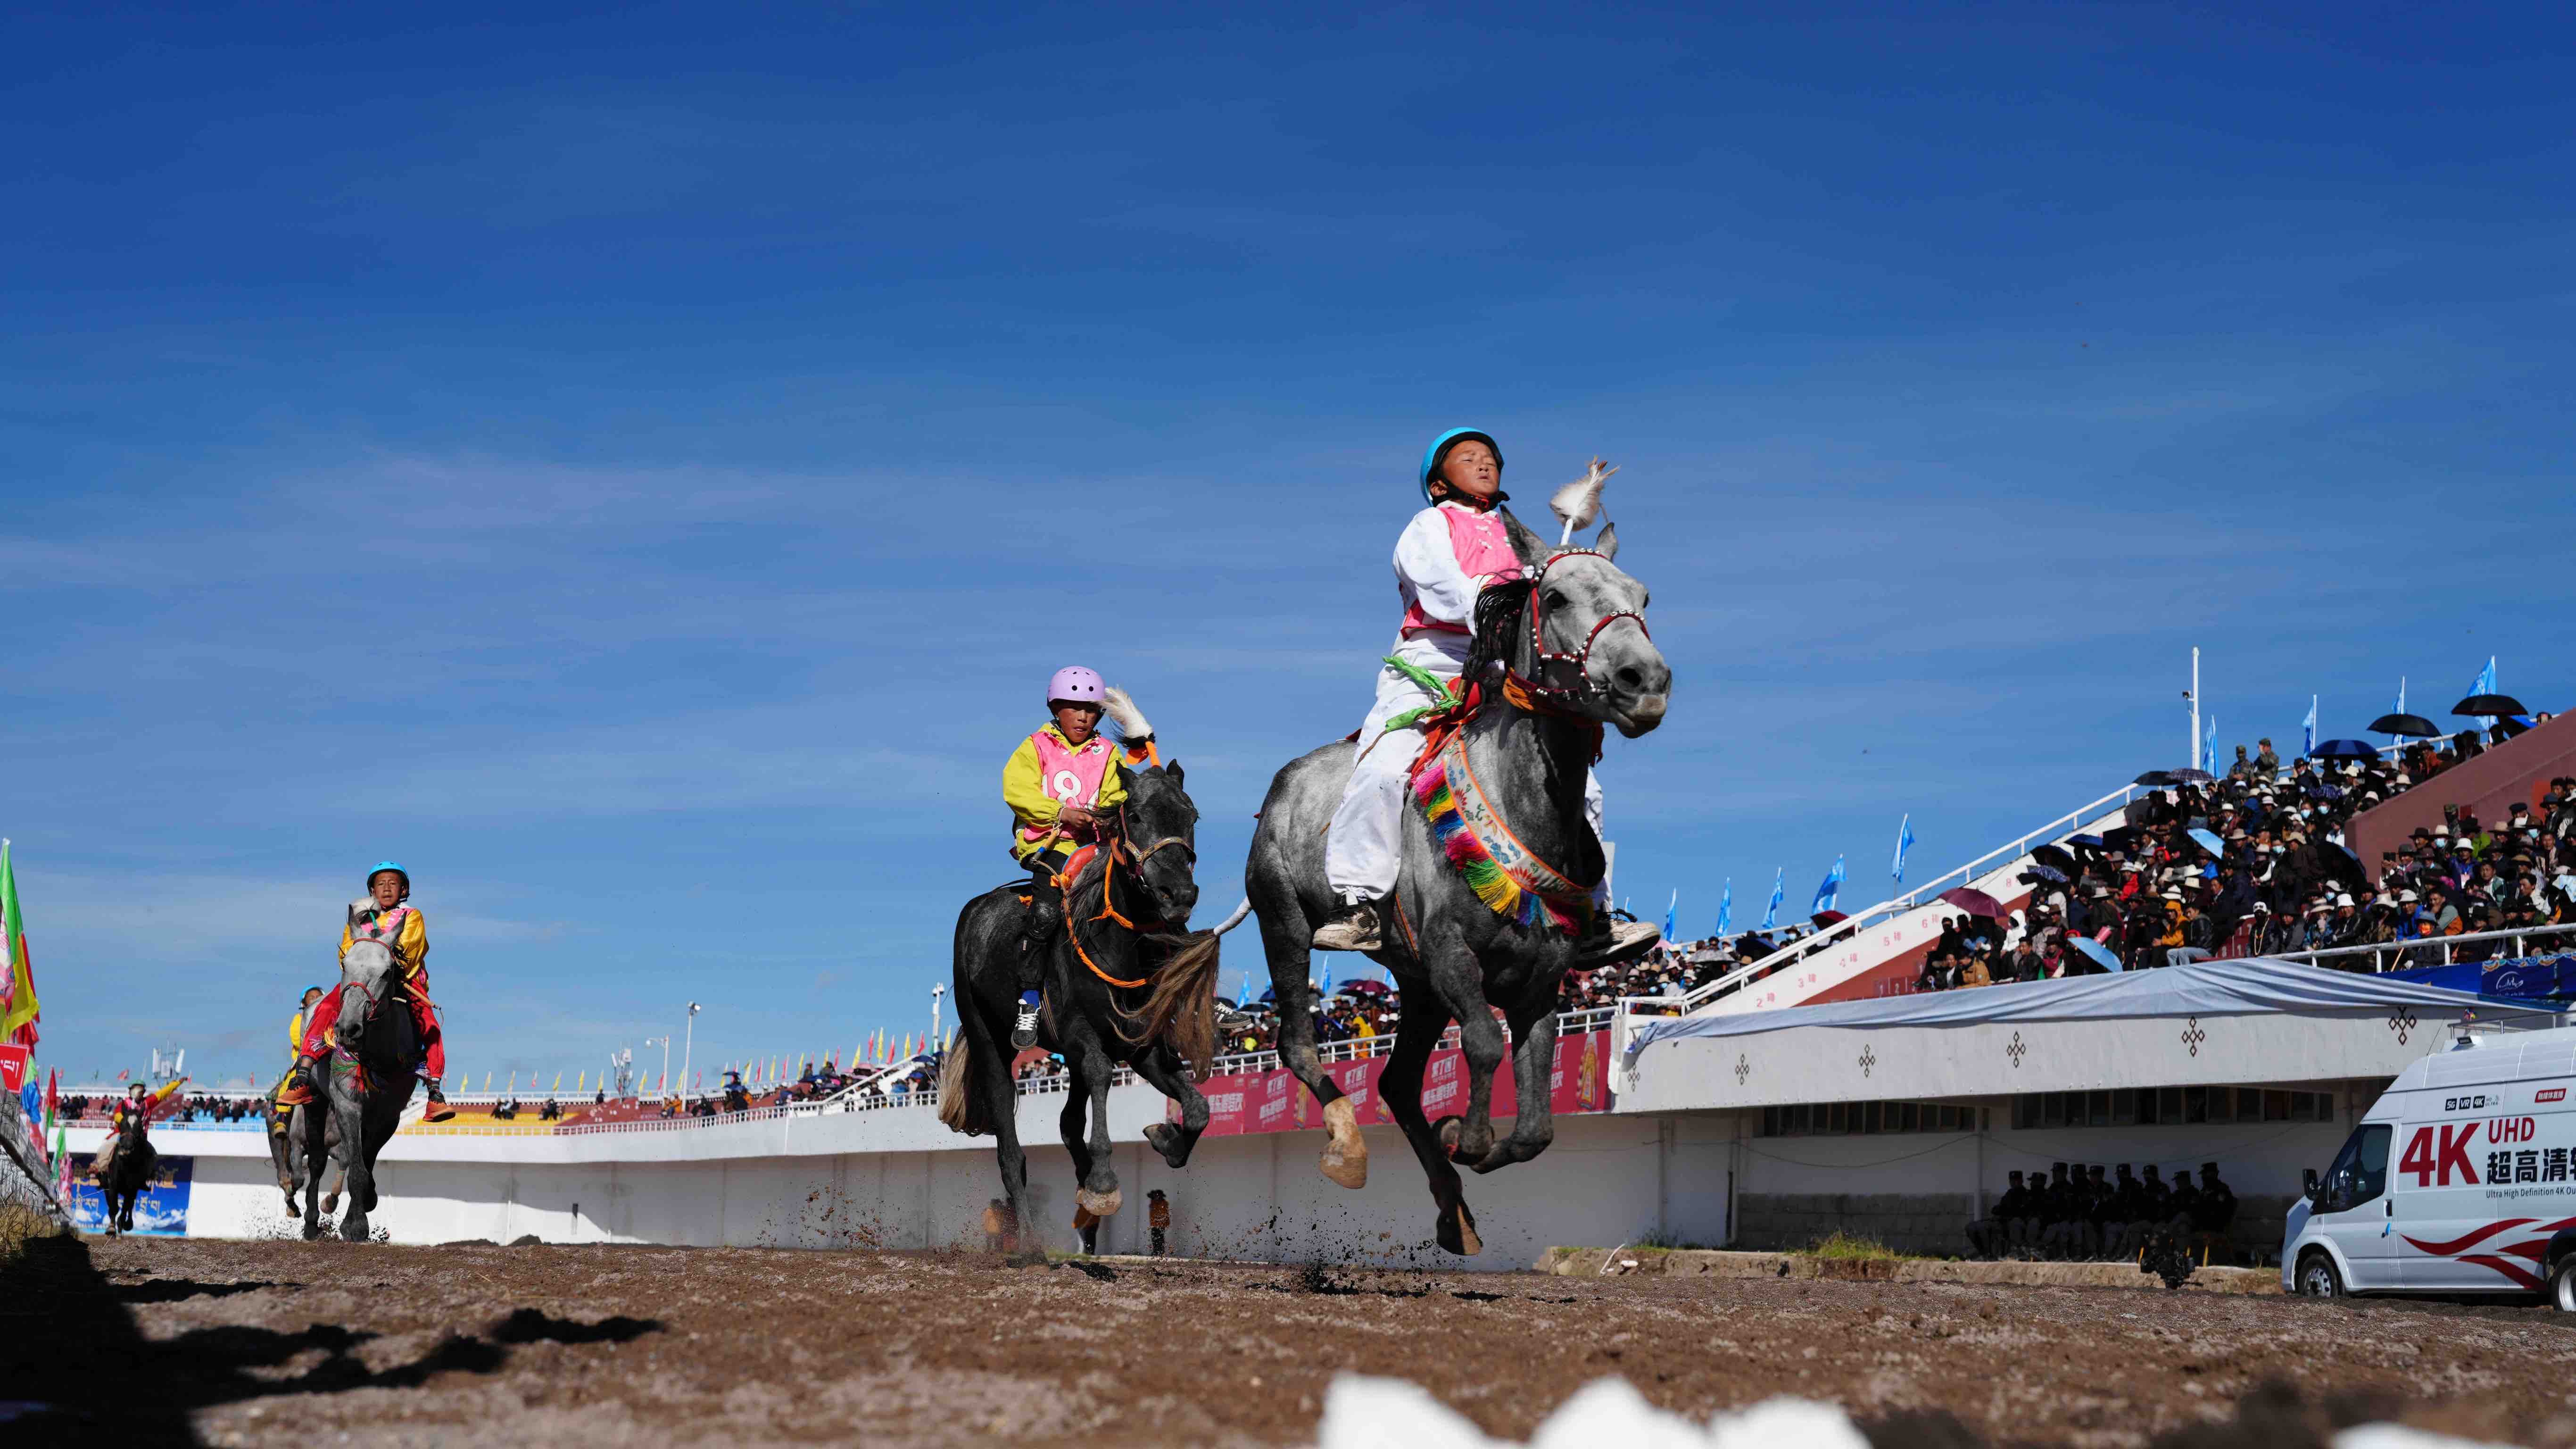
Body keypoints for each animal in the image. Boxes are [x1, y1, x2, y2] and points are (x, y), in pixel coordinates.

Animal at [302, 931, 419, 1241]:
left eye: (387, 972)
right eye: (345, 965)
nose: (348, 1029)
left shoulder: (388, 1116)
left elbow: (366, 1161)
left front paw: (366, 1202)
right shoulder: (347, 1104)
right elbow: (357, 1168)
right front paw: (355, 1226)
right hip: (315, 1101)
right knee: (317, 1161)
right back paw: (311, 1223)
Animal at [941, 751, 1234, 1264]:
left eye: (1191, 816)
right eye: (1135, 815)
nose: (1179, 894)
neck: (1116, 943)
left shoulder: (1140, 1043)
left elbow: (1196, 1108)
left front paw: (1166, 1139)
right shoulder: (1081, 1033)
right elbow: (1100, 1073)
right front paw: (1102, 1183)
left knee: (1067, 1122)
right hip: (986, 1034)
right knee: (1010, 1147)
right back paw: (1031, 1244)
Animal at [1245, 505, 1669, 1254]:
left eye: (1641, 596)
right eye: (1555, 597)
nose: (1642, 681)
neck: (1520, 803)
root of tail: (1282, 788)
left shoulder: (1537, 984)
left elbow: (1535, 1128)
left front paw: (1472, 1145)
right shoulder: (1451, 957)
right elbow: (1480, 1044)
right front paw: (1465, 1136)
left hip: (1413, 986)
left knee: (1396, 1084)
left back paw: (1453, 1210)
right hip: (1285, 929)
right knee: (1298, 1044)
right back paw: (1347, 1148)